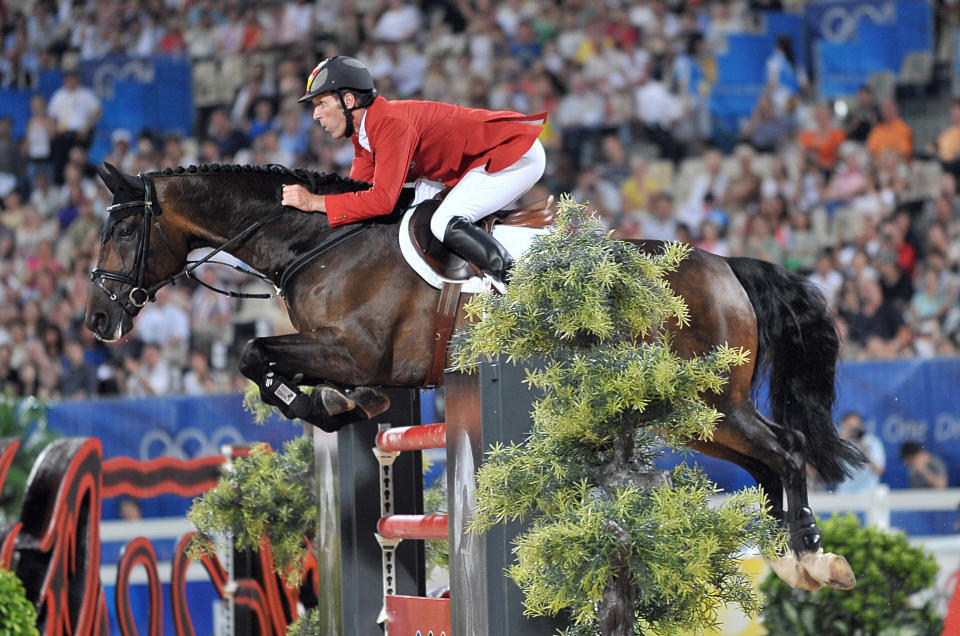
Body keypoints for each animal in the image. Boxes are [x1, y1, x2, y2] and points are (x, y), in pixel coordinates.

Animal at [84, 163, 864, 592]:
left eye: (121, 231)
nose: (97, 320)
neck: (320, 242)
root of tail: (725, 263)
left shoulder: (348, 350)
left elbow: (255, 355)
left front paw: (313, 403)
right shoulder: (349, 358)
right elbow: (293, 371)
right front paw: (339, 408)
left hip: (707, 399)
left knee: (787, 450)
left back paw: (808, 560)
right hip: (688, 414)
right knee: (767, 465)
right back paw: (790, 558)